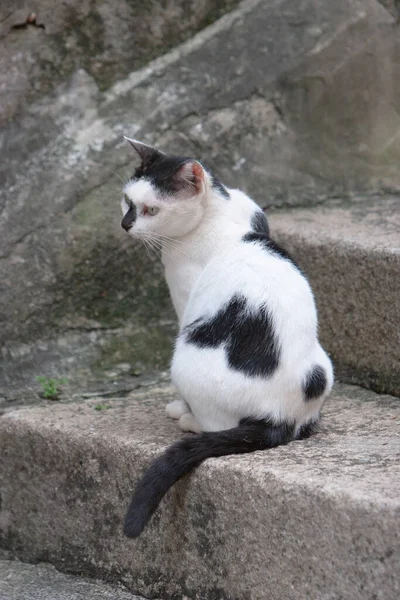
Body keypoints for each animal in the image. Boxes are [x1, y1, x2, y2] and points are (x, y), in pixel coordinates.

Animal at [120, 137, 332, 540]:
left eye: (151, 209)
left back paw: (189, 421)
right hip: (324, 366)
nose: (125, 225)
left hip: (185, 358)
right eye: (127, 201)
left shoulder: (186, 301)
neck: (218, 214)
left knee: (217, 425)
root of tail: (280, 417)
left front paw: (179, 407)